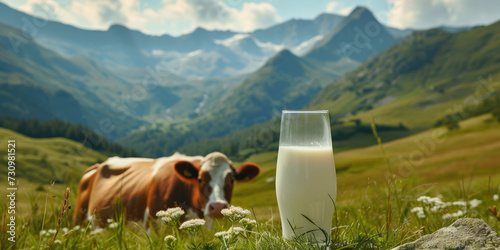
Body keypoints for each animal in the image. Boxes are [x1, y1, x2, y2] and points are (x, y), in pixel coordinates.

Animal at [73, 152, 262, 227]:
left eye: (231, 179)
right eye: (200, 179)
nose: (218, 207)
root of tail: (98, 165)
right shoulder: (152, 224)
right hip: (79, 222)